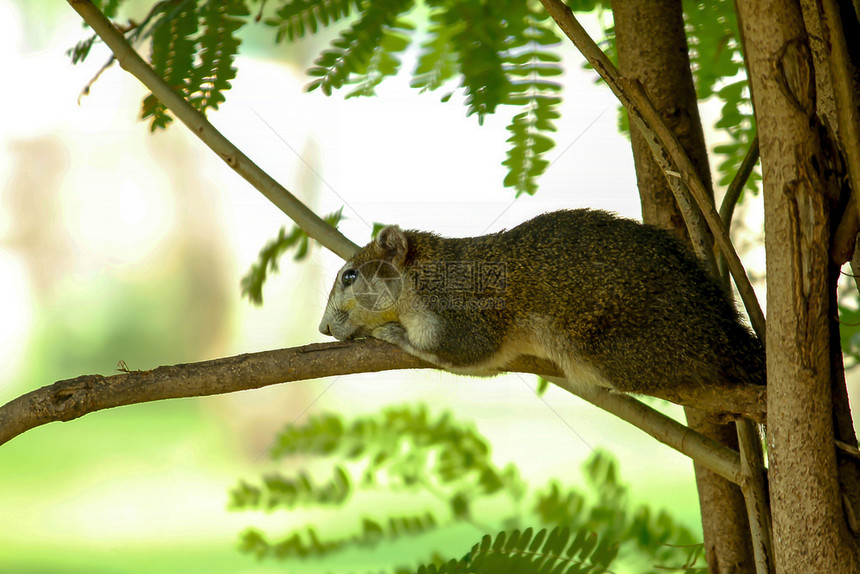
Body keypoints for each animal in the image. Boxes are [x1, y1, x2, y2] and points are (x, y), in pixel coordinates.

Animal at [320, 210, 764, 396]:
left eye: (350, 276)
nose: (323, 328)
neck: (422, 275)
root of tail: (727, 336)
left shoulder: (462, 309)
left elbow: (459, 348)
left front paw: (391, 333)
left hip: (623, 349)